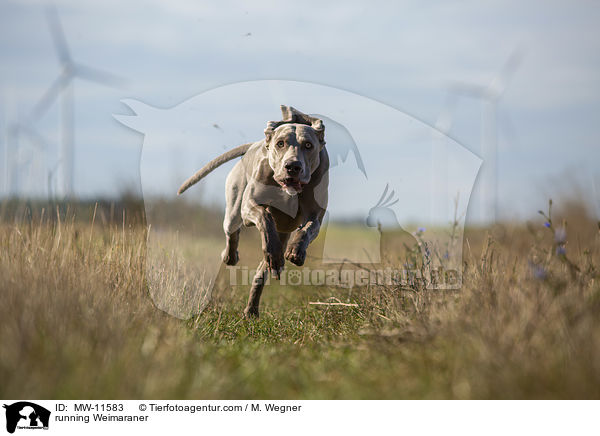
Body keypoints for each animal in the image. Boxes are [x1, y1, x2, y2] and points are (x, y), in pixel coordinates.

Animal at [178, 105, 328, 316]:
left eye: (308, 145)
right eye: (280, 143)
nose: (292, 166)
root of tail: (253, 146)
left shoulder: (316, 215)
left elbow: (307, 228)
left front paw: (296, 250)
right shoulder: (249, 206)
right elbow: (264, 216)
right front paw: (272, 248)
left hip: (280, 235)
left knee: (262, 272)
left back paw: (252, 309)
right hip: (234, 211)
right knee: (232, 231)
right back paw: (231, 256)